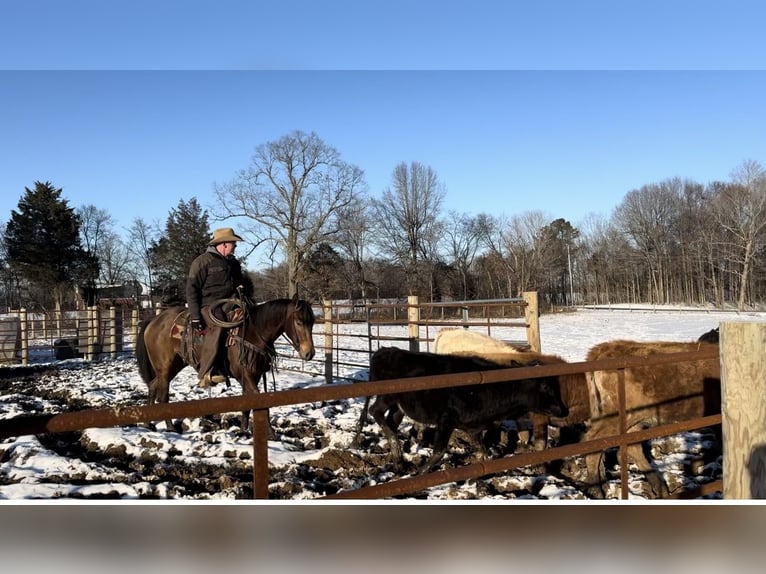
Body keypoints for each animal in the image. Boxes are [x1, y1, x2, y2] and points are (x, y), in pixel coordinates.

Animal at [136, 294, 316, 434]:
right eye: (299, 322)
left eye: (312, 322)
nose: (309, 353)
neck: (253, 332)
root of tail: (154, 321)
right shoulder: (246, 375)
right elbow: (259, 402)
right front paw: (270, 434)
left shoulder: (254, 375)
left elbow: (248, 403)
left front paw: (243, 430)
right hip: (165, 368)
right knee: (163, 396)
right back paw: (171, 428)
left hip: (173, 366)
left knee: (152, 386)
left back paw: (148, 423)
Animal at [366, 348, 568, 474]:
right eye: (545, 386)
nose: (562, 409)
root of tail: (385, 350)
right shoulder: (446, 419)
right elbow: (439, 451)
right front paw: (420, 474)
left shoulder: (474, 428)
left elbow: (483, 454)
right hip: (387, 396)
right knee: (374, 410)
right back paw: (396, 449)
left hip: (399, 406)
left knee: (390, 420)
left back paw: (397, 460)